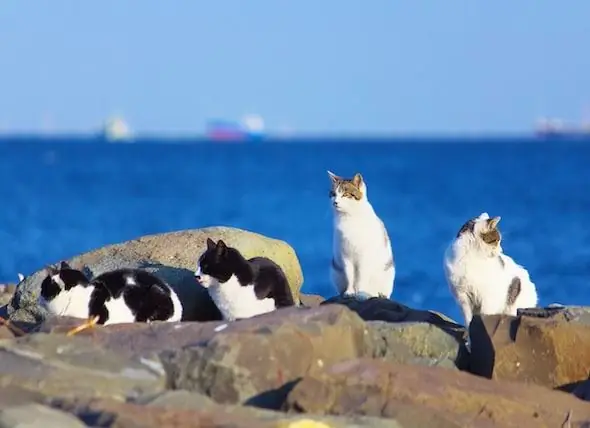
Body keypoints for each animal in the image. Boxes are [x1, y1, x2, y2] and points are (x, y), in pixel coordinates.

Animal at [330, 170, 396, 298]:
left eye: (345, 194)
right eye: (333, 194)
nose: (335, 202)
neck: (348, 217)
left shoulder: (364, 257)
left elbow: (361, 276)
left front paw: (360, 292)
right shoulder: (346, 255)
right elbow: (350, 275)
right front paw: (350, 291)